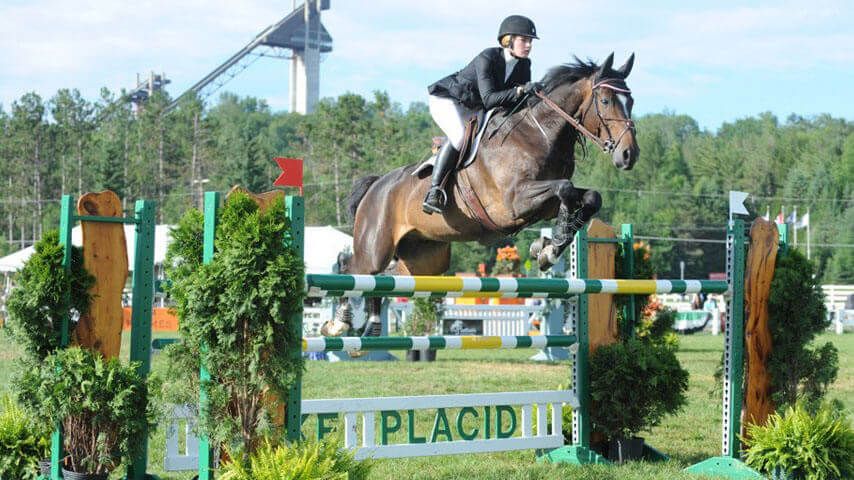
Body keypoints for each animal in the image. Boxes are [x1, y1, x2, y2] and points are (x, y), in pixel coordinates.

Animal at [339, 53, 638, 334]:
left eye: (631, 101)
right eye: (605, 101)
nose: (629, 155)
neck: (538, 134)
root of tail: (376, 185)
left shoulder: (541, 204)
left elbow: (589, 197)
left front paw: (548, 247)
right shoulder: (513, 203)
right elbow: (564, 187)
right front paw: (550, 246)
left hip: (425, 259)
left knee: (384, 279)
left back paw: (371, 324)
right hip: (375, 247)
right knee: (355, 270)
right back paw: (341, 323)